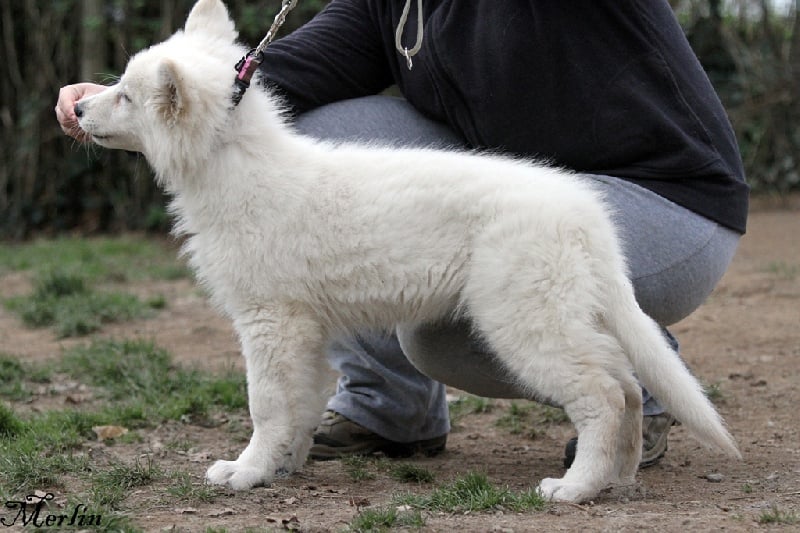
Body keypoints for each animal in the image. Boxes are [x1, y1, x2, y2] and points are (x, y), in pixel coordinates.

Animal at [73, 0, 736, 500]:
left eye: (126, 96)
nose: (74, 105)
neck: (232, 161)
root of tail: (586, 213)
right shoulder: (304, 330)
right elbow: (299, 405)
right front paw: (281, 466)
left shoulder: (269, 322)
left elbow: (265, 404)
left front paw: (246, 471)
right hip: (559, 311)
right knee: (625, 382)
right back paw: (616, 478)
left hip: (521, 319)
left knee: (603, 392)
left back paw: (575, 488)